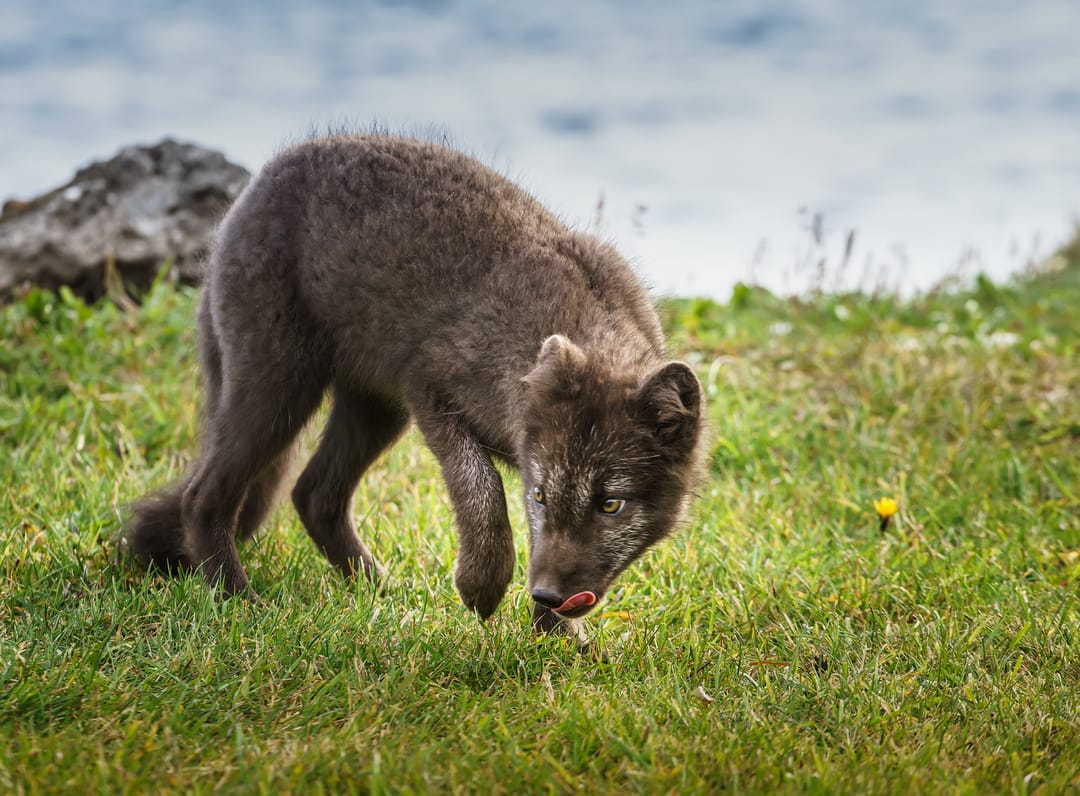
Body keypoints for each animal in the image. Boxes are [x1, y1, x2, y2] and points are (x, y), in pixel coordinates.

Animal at [124, 134, 705, 638]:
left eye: (610, 505)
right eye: (542, 495)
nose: (545, 597)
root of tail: (250, 191)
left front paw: (557, 636)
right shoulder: (428, 387)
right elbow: (481, 490)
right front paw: (483, 588)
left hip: (373, 410)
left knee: (313, 494)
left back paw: (380, 593)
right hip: (280, 390)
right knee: (203, 496)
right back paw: (239, 603)